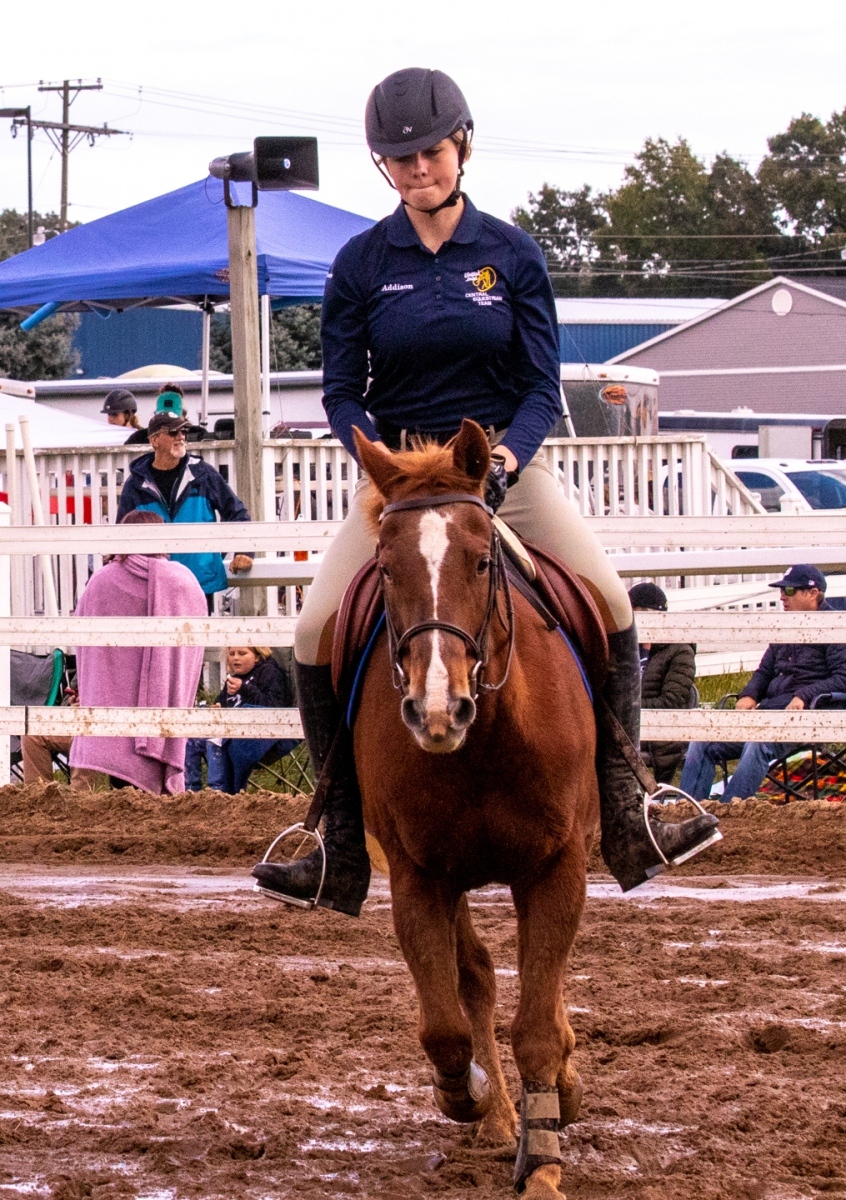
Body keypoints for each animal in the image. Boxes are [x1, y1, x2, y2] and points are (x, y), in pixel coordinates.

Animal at [350, 419, 599, 1199]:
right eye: (386, 567)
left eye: (483, 560)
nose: (438, 709)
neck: (484, 740)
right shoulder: (418, 876)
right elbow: (446, 1027)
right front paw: (477, 1099)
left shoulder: (556, 867)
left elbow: (539, 1027)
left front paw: (544, 1161)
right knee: (479, 979)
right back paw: (496, 1119)